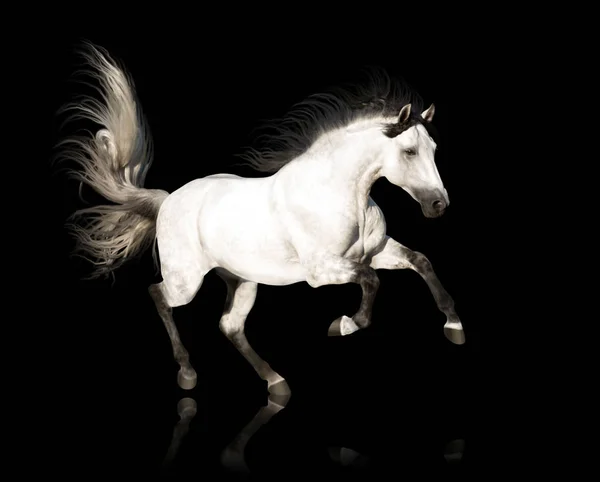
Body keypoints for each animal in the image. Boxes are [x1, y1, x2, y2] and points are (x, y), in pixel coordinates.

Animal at [57, 42, 464, 396]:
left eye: (434, 149)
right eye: (409, 151)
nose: (438, 205)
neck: (338, 194)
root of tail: (168, 200)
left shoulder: (376, 252)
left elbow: (420, 261)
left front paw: (454, 326)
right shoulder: (322, 271)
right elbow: (371, 281)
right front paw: (343, 325)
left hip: (242, 280)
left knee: (230, 325)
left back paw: (276, 383)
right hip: (186, 280)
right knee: (158, 294)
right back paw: (187, 373)